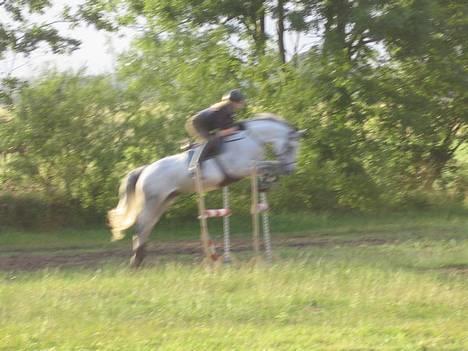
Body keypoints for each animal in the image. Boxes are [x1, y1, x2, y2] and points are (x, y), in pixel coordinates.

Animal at [108, 115, 306, 266]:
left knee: (147, 226)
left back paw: (140, 258)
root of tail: (145, 170)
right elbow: (269, 165)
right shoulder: (242, 169)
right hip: (153, 201)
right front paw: (269, 179)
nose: (291, 170)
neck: (252, 138)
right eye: (291, 147)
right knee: (141, 226)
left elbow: (269, 166)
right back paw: (135, 261)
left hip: (164, 201)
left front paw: (267, 182)